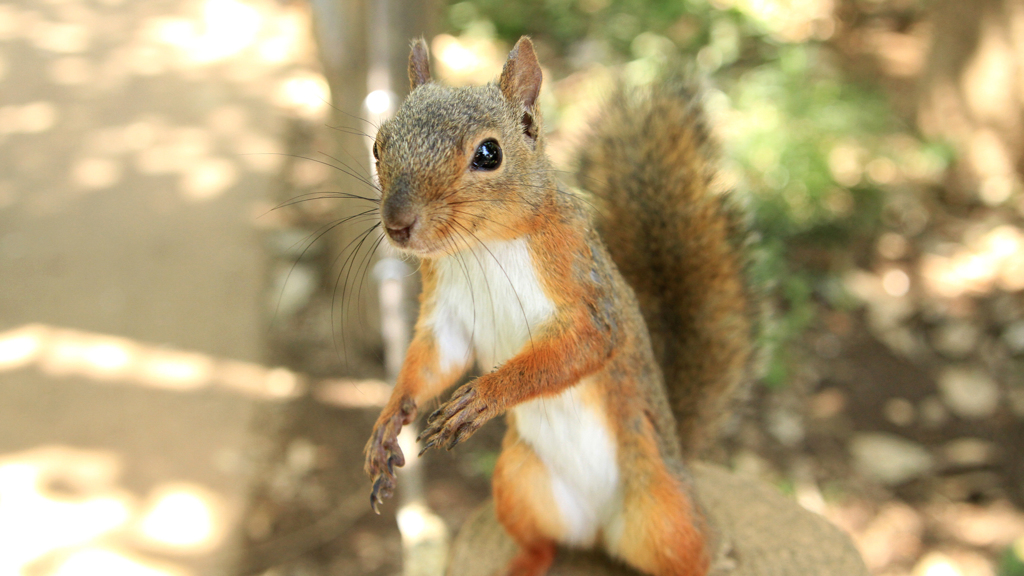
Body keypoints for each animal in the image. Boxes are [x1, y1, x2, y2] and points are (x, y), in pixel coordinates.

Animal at [362, 35, 753, 573]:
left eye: (489, 153)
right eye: (378, 146)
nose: (397, 224)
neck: (483, 248)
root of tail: (600, 535)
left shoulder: (584, 286)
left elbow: (579, 347)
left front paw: (486, 395)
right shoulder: (447, 314)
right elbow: (433, 362)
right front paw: (388, 422)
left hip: (665, 506)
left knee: (690, 551)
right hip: (516, 480)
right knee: (541, 543)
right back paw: (522, 564)